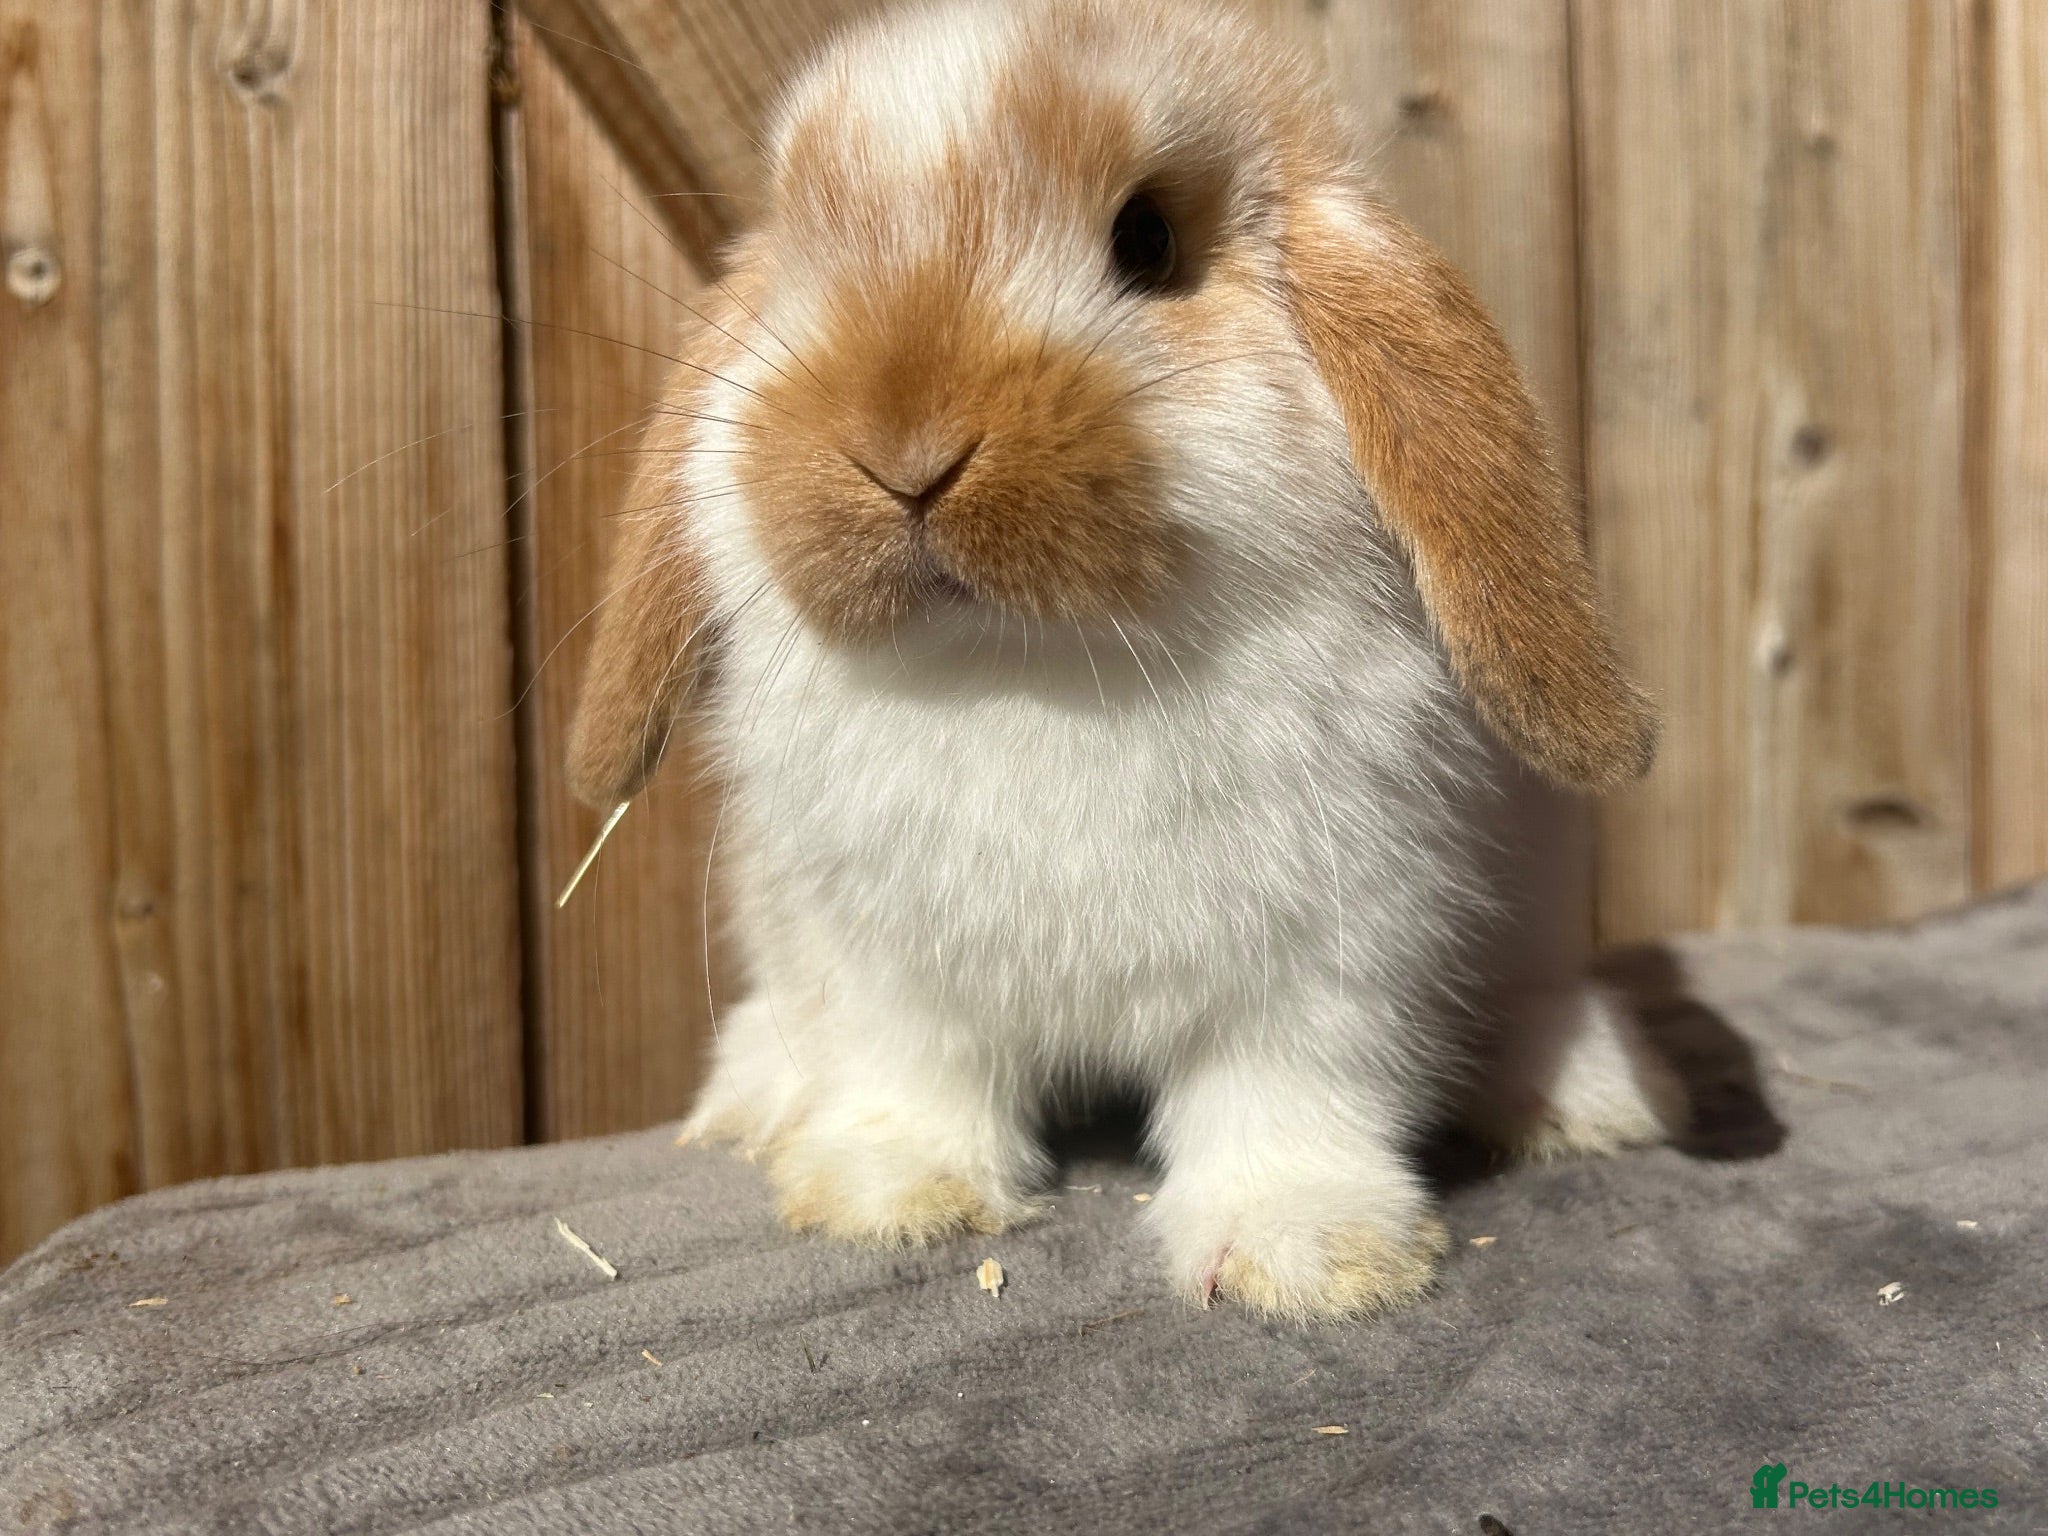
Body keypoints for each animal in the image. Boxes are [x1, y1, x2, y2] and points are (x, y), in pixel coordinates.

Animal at [564, 0, 1685, 1321]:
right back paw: (753, 1099)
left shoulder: (1334, 956)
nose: (903, 452)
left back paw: (1585, 1097)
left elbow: (1285, 1097)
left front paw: (1303, 1254)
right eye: (804, 261)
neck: (1029, 670)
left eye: (1146, 240)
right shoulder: (887, 964)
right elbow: (913, 1072)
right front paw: (886, 1194)